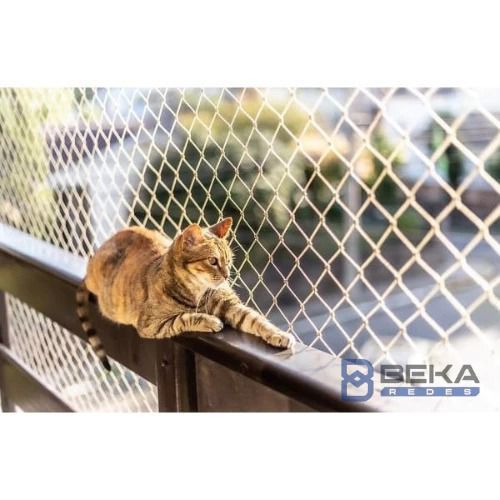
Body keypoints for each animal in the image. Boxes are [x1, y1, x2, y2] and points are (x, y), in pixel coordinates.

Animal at [76, 217, 296, 370]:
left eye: (229, 260)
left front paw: (279, 334)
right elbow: (183, 317)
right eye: (213, 261)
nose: (226, 275)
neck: (198, 290)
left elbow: (257, 320)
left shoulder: (231, 305)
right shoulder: (151, 324)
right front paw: (210, 321)